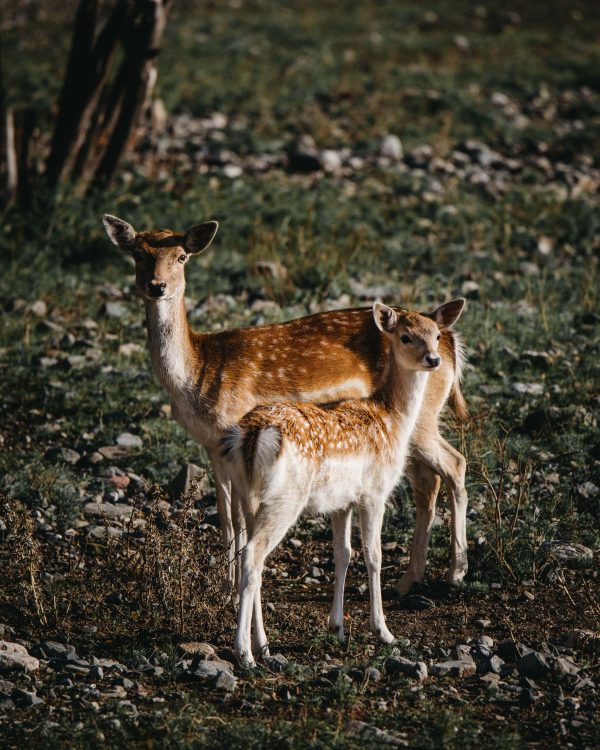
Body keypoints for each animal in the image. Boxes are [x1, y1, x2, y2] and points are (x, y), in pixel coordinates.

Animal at [103, 214, 468, 596]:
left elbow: (236, 515)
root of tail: (449, 341)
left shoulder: (231, 431)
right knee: (429, 480)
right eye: (137, 255)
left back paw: (454, 573)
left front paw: (230, 587)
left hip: (423, 416)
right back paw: (410, 579)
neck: (196, 375)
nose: (157, 286)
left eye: (181, 257)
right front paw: (225, 584)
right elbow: (224, 513)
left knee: (454, 463)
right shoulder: (211, 445)